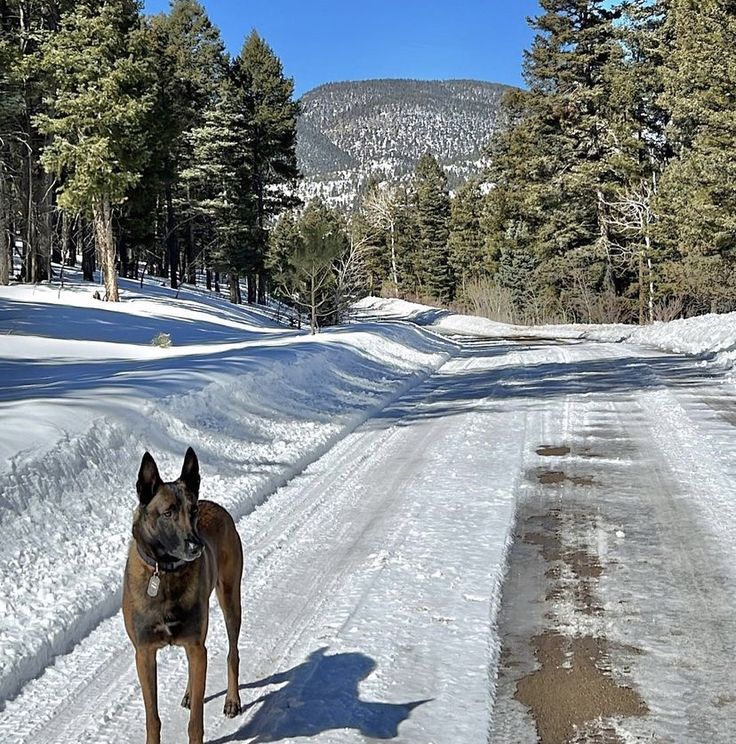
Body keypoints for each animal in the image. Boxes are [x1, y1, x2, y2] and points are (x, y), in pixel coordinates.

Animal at [123, 448, 244, 744]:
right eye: (168, 512)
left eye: (193, 511)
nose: (196, 546)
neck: (165, 572)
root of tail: (217, 506)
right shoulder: (144, 654)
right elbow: (152, 718)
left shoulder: (196, 646)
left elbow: (196, 722)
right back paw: (190, 693)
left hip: (230, 598)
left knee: (232, 653)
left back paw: (232, 700)